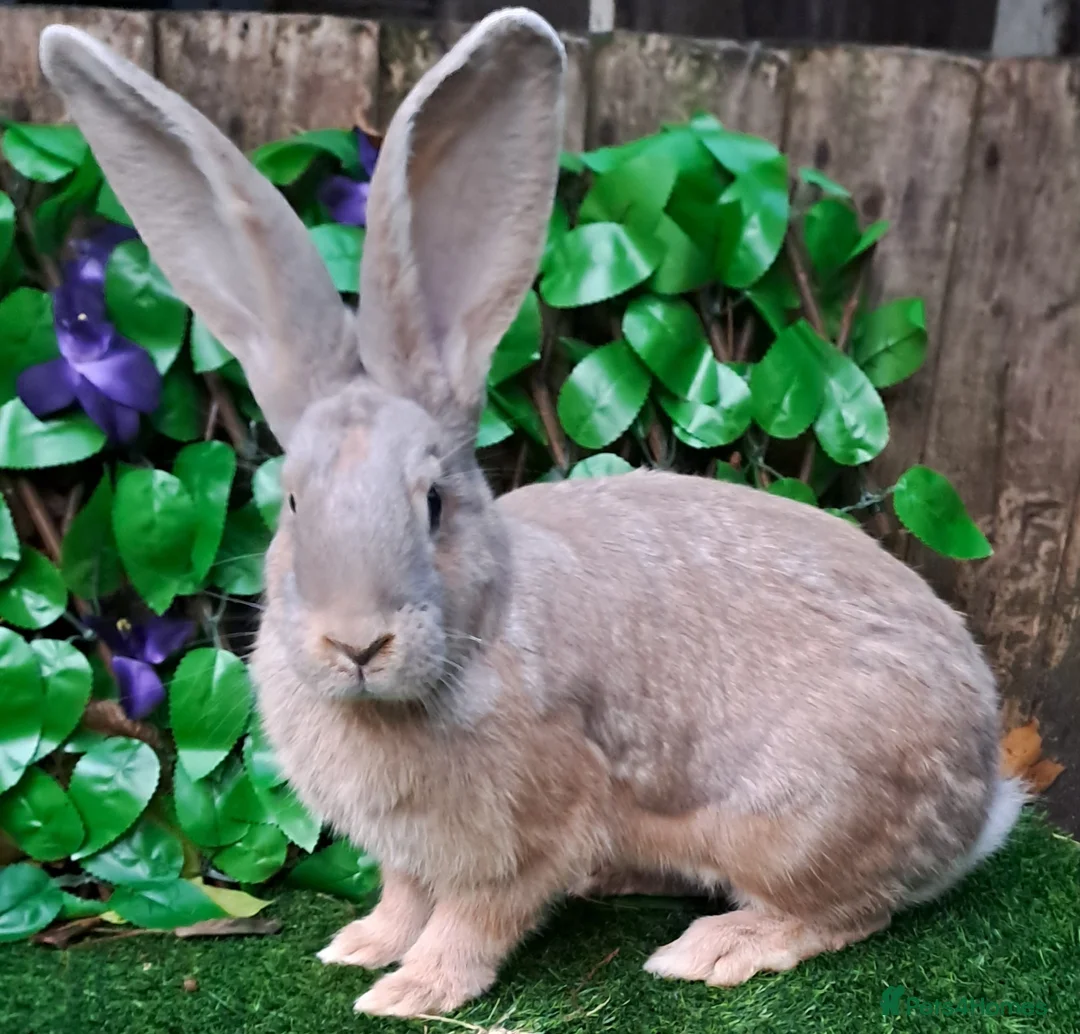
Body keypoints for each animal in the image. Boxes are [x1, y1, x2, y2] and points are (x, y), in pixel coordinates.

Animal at [40, 8, 1027, 1019]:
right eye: (290, 502)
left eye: (434, 503)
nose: (356, 644)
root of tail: (980, 797)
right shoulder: (409, 852)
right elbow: (403, 896)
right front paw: (362, 948)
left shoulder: (523, 832)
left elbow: (474, 918)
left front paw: (412, 991)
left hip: (796, 824)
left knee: (848, 912)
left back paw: (714, 948)